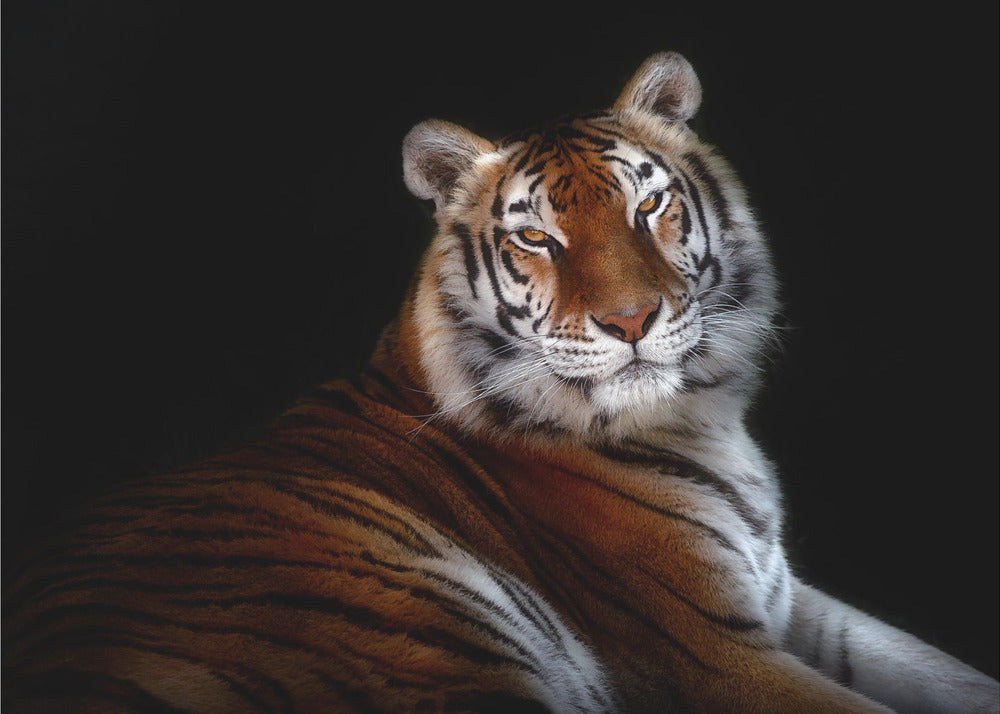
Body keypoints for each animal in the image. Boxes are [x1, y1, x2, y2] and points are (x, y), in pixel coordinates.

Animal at [3, 52, 997, 713]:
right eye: (536, 238)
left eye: (649, 205)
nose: (630, 321)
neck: (703, 417)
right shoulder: (715, 655)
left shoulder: (789, 600)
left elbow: (938, 667)